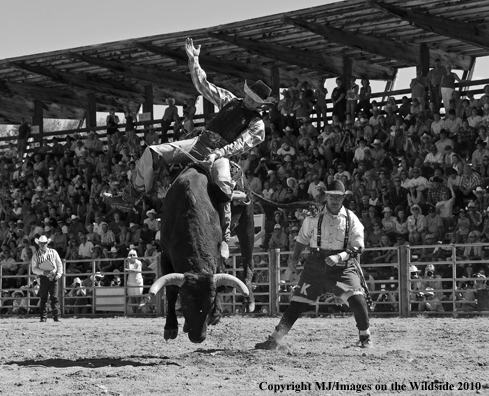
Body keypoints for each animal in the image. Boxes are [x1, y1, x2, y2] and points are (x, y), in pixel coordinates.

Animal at [149, 166, 254, 342]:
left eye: (209, 304)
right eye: (185, 302)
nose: (198, 337)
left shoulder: (217, 252)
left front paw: (216, 314)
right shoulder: (165, 256)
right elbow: (171, 291)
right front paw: (171, 327)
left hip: (247, 222)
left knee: (247, 262)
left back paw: (249, 301)